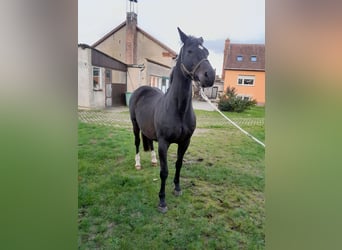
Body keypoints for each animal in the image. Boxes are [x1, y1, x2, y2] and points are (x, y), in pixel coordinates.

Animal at [130, 27, 215, 212]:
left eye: (206, 51)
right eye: (190, 51)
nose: (210, 76)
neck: (178, 109)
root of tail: (141, 89)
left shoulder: (185, 142)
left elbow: (178, 164)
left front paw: (177, 188)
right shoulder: (164, 143)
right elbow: (164, 172)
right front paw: (162, 201)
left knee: (149, 142)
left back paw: (153, 160)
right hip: (135, 126)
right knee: (137, 143)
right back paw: (138, 164)